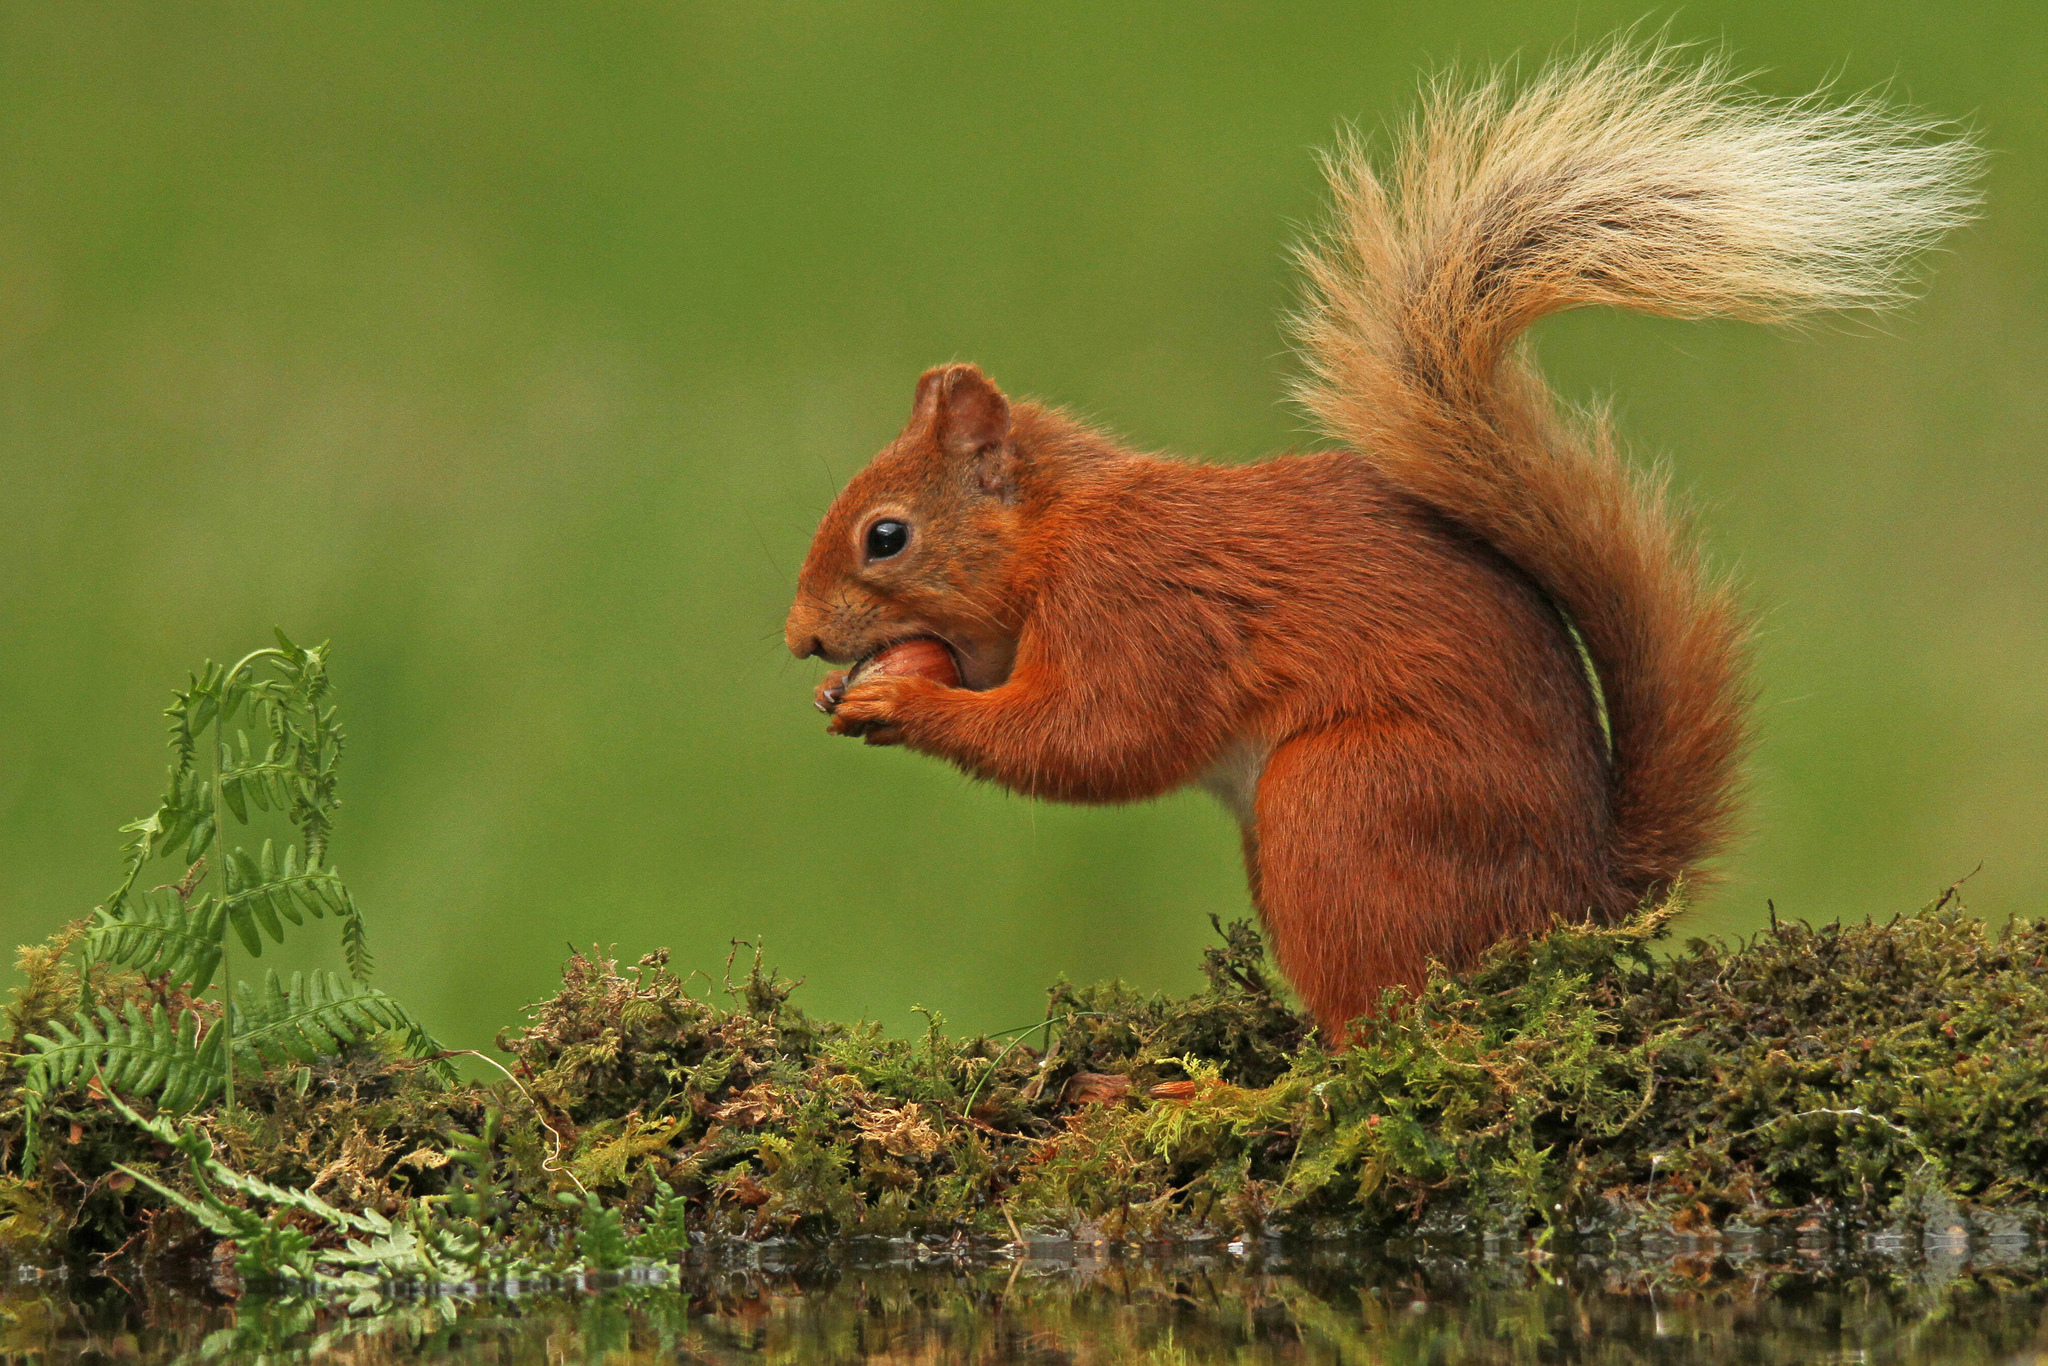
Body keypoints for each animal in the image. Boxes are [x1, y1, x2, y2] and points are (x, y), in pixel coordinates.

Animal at [778, 50, 1966, 1036]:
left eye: (886, 537)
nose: (797, 638)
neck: (1061, 528)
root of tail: (1577, 905)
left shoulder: (1136, 602)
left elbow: (1096, 738)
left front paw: (904, 702)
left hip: (1341, 808)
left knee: (1378, 1027)